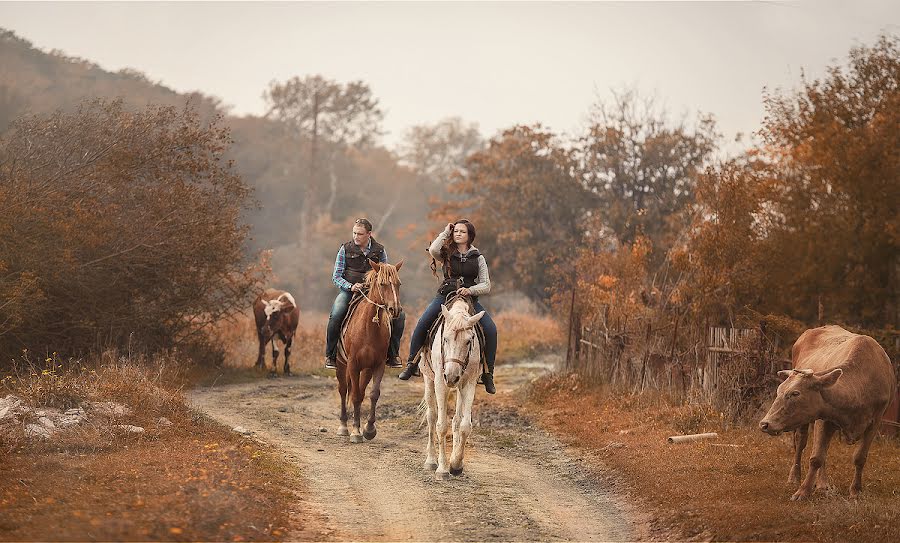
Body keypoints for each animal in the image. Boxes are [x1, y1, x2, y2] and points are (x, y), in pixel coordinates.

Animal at [336, 262, 402, 444]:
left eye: (398, 284)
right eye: (382, 284)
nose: (395, 309)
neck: (368, 327)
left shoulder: (378, 365)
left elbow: (373, 394)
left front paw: (369, 429)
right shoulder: (353, 365)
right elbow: (355, 396)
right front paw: (356, 432)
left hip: (366, 370)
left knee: (361, 391)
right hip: (341, 365)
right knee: (343, 390)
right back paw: (343, 426)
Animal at [422, 298, 486, 480]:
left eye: (469, 341)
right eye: (445, 339)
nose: (450, 376)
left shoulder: (469, 383)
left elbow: (464, 426)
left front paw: (456, 464)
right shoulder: (440, 383)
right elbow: (441, 425)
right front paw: (443, 469)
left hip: (460, 386)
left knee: (457, 419)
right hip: (429, 379)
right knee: (431, 416)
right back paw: (431, 461)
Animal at [756, 328, 896, 502]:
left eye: (795, 393)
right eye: (779, 391)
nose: (765, 424)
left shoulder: (875, 422)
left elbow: (860, 458)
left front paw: (856, 491)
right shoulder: (823, 420)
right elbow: (816, 458)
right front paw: (802, 491)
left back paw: (823, 484)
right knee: (801, 443)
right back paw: (795, 478)